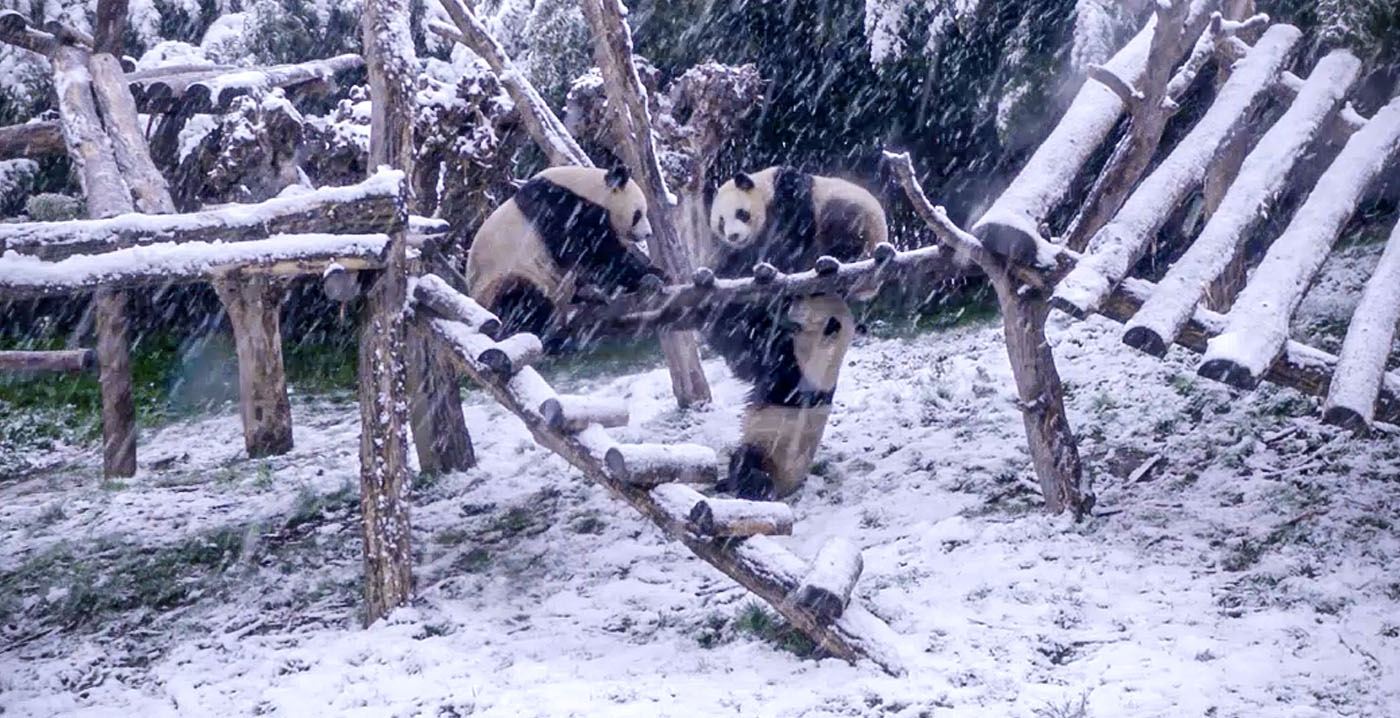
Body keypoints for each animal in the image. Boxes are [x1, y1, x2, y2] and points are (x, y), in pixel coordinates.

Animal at [467, 165, 663, 349]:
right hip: (503, 279)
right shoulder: (559, 209)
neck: (588, 190)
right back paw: (553, 341)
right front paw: (649, 274)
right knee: (524, 301)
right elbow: (591, 252)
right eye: (638, 214)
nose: (647, 233)